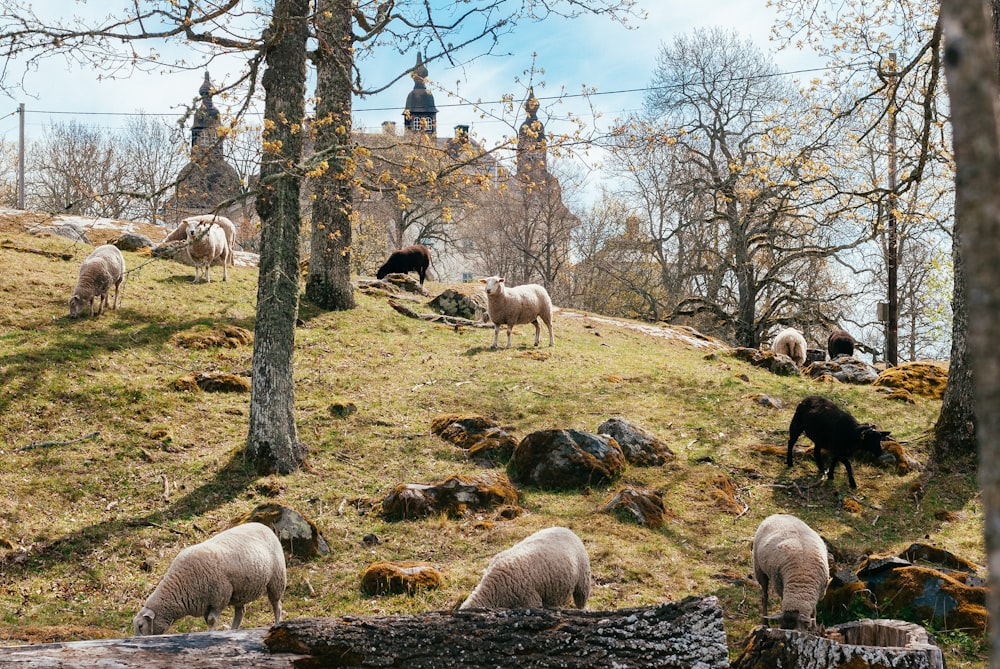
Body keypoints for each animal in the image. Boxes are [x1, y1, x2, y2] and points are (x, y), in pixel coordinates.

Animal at [132, 520, 286, 636]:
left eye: (140, 626)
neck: (181, 584)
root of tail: (264, 526)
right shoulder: (207, 603)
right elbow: (208, 620)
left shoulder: (219, 597)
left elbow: (211, 621)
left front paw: (210, 634)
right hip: (241, 590)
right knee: (240, 612)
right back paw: (233, 630)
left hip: (276, 579)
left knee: (276, 605)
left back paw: (277, 624)